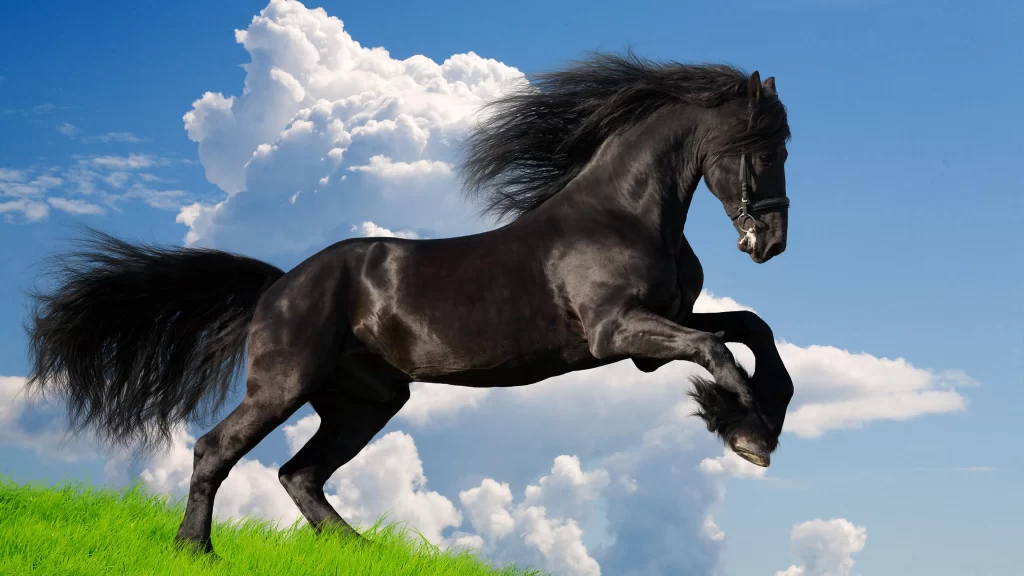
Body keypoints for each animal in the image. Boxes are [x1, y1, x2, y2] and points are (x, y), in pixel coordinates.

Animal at [22, 52, 795, 555]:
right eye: (765, 149)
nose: (772, 243)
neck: (622, 215)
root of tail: (278, 285)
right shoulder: (618, 334)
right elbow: (719, 348)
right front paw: (748, 434)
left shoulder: (652, 336)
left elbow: (752, 331)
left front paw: (760, 417)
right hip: (285, 384)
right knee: (217, 450)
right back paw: (195, 549)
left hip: (366, 400)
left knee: (299, 473)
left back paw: (359, 548)